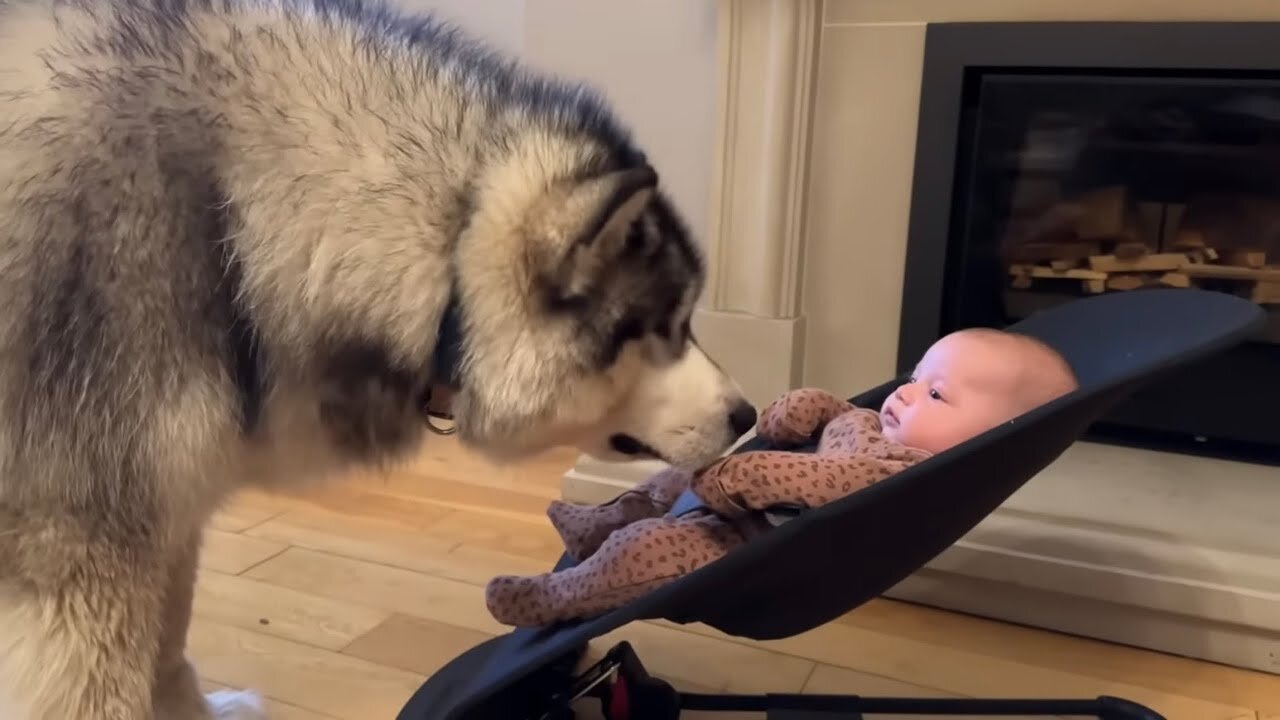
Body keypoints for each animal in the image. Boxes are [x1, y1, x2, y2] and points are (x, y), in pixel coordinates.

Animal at [0, 0, 757, 712]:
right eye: (666, 324)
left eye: (686, 319)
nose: (747, 414)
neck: (231, 222)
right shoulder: (88, 553)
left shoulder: (169, 515)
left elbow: (168, 644)